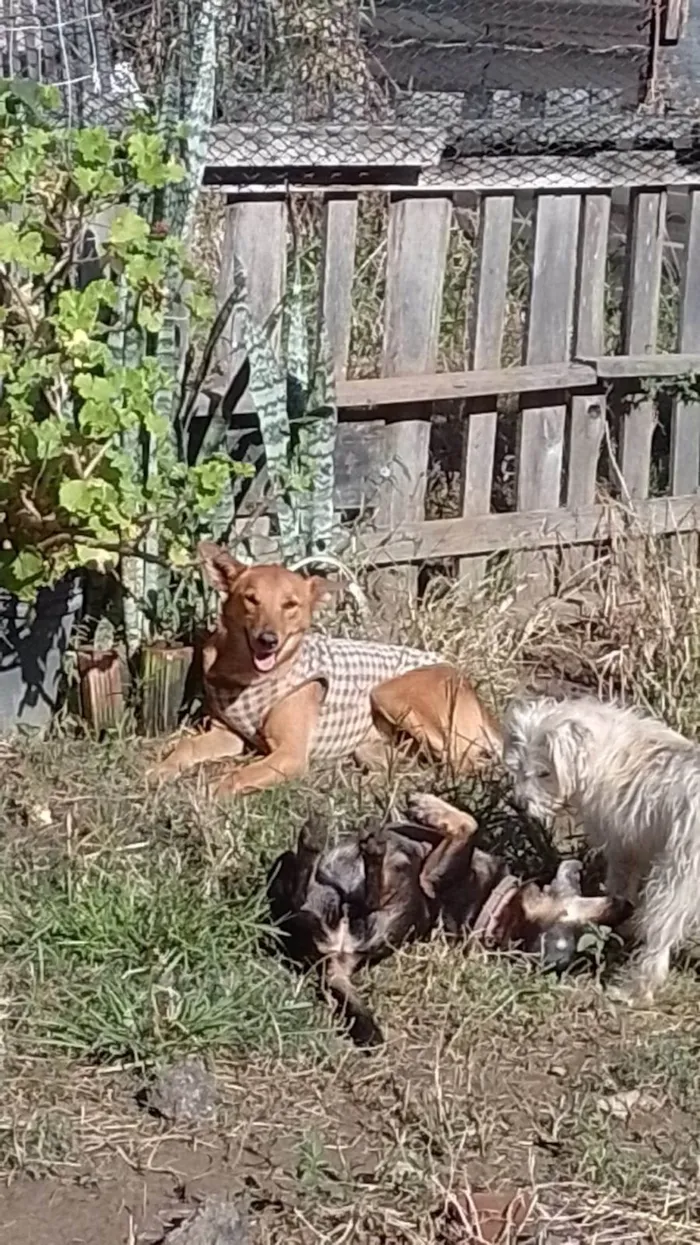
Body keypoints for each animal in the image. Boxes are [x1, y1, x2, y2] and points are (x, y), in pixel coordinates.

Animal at [266, 791, 627, 1045]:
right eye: (582, 927)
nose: (623, 905)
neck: (493, 905)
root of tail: (336, 959)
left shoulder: (431, 876)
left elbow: (469, 823)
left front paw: (427, 807)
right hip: (293, 875)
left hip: (404, 892)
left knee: (357, 894)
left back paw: (346, 846)